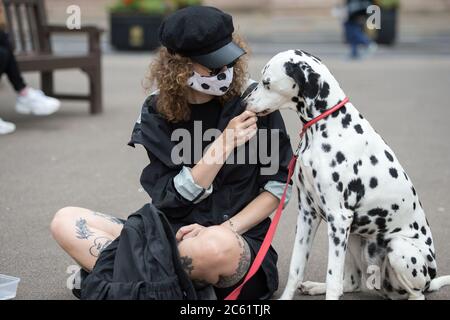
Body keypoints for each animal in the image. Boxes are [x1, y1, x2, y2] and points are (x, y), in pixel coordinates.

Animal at [243, 48, 450, 298]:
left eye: (266, 82)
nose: (244, 101)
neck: (327, 125)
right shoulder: (307, 214)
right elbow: (296, 268)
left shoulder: (338, 218)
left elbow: (332, 277)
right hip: (353, 237)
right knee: (351, 283)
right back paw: (315, 286)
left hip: (397, 248)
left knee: (415, 293)